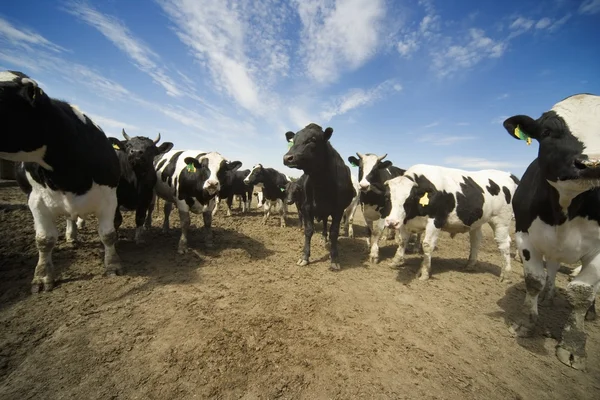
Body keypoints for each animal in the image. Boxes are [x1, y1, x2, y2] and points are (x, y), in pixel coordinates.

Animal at [0, 70, 123, 292]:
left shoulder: (109, 196)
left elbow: (108, 234)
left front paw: (113, 265)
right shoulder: (36, 200)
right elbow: (44, 240)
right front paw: (42, 277)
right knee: (69, 218)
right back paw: (71, 236)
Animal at [282, 123, 356, 270]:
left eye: (312, 140)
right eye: (293, 140)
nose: (288, 158)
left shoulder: (338, 210)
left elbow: (334, 232)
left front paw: (334, 258)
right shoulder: (306, 208)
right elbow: (308, 230)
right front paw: (304, 257)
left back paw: (324, 237)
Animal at [384, 164, 520, 282]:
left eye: (410, 198)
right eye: (388, 197)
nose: (391, 222)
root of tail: (509, 174)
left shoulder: (436, 221)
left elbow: (427, 245)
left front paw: (424, 273)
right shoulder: (404, 221)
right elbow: (402, 241)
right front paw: (395, 262)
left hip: (501, 221)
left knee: (504, 244)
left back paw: (505, 275)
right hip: (477, 222)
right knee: (476, 240)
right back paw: (470, 265)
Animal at [502, 92, 600, 370]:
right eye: (547, 132)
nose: (592, 164)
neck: (565, 209)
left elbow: (582, 292)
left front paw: (573, 346)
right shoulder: (525, 235)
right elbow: (534, 280)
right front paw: (525, 323)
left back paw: (591, 313)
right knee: (553, 269)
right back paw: (549, 295)